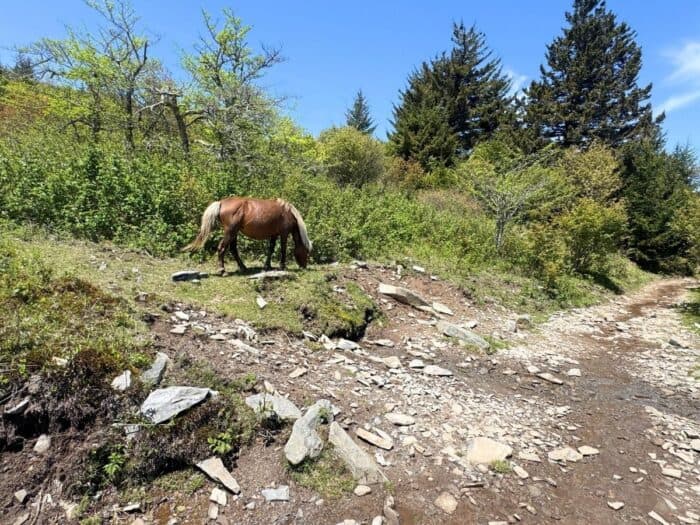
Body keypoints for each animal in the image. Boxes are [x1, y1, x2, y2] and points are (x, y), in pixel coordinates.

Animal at [183, 197, 312, 274]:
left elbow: (271, 249)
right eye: (306, 252)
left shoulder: (274, 235)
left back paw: (243, 267)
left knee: (233, 249)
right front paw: (282, 266)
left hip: (234, 233)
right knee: (222, 248)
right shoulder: (283, 234)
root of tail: (221, 203)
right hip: (230, 232)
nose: (304, 266)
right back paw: (222, 270)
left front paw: (267, 266)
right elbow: (283, 249)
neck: (287, 212)